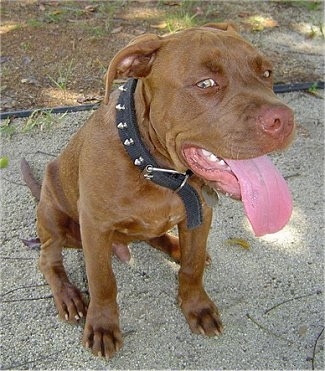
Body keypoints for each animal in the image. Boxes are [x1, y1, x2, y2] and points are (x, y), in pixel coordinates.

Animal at [22, 22, 294, 358]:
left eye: (267, 73)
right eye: (206, 83)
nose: (285, 120)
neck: (158, 168)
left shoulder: (201, 214)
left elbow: (192, 268)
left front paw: (197, 305)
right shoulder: (95, 227)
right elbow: (102, 281)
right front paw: (102, 325)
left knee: (159, 239)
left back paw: (177, 247)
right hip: (54, 215)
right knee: (48, 260)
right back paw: (68, 296)